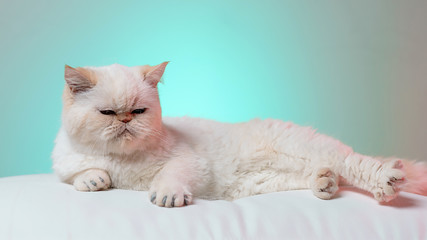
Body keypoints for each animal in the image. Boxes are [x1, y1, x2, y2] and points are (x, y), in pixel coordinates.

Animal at [52, 62, 427, 207]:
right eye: (108, 113)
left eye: (140, 111)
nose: (126, 120)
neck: (123, 159)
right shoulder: (66, 165)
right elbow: (79, 175)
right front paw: (95, 180)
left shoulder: (187, 161)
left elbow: (171, 176)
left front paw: (167, 195)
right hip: (271, 180)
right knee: (330, 175)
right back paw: (325, 182)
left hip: (313, 151)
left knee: (357, 164)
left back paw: (386, 183)